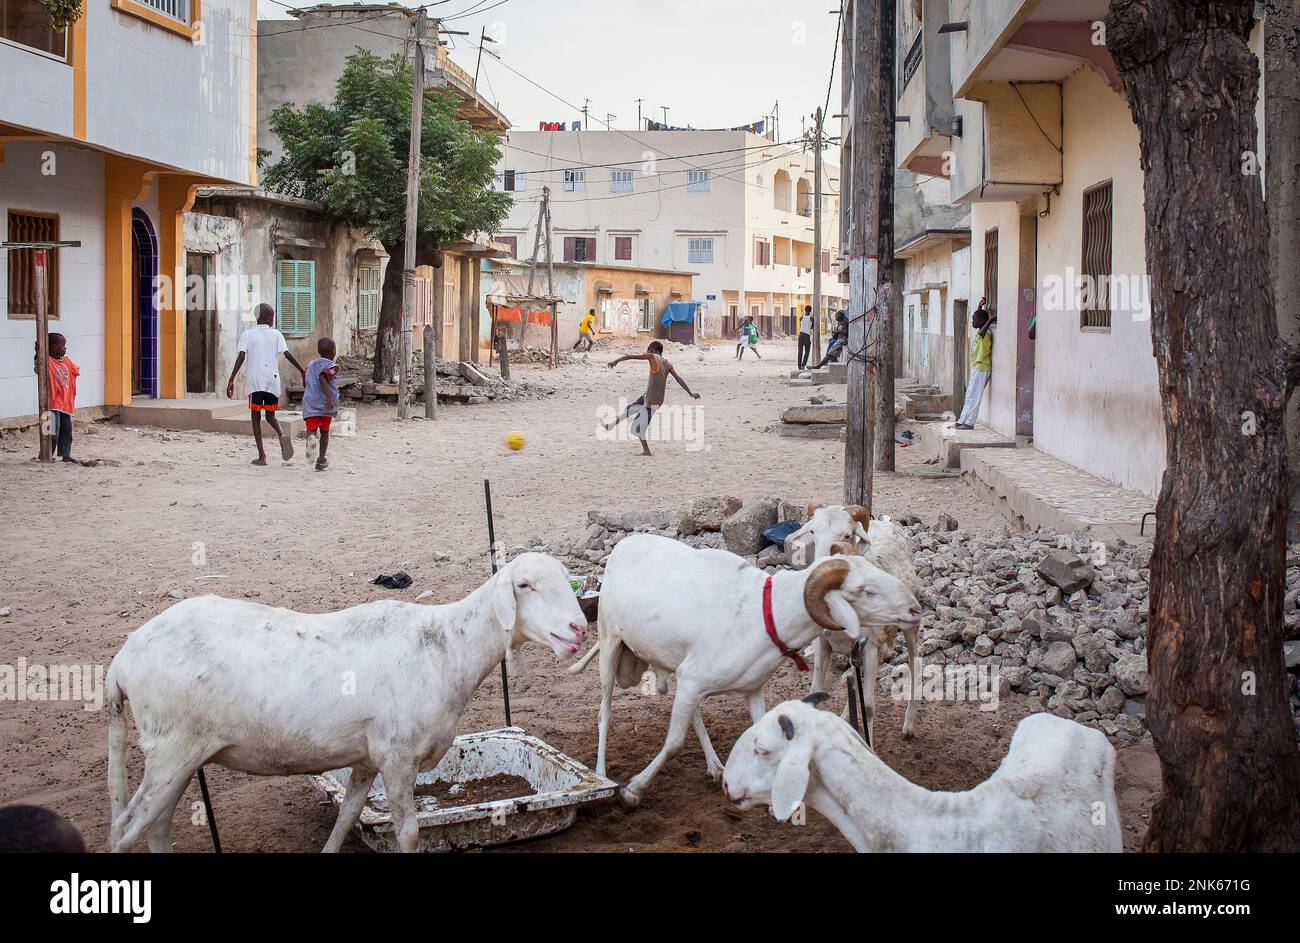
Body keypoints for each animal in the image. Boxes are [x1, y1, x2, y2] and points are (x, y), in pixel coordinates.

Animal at [106, 551, 585, 853]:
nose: (579, 628)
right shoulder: (397, 755)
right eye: (524, 585)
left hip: (179, 754)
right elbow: (407, 833)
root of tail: (122, 660)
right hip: (172, 748)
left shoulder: (368, 758)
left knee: (157, 827)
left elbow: (346, 817)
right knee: (125, 830)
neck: (449, 647)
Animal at [564, 533, 920, 806]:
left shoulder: (746, 689)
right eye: (864, 591)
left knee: (691, 713)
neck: (765, 613)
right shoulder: (693, 681)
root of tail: (625, 544)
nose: (916, 608)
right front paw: (633, 792)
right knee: (604, 711)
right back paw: (601, 772)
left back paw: (715, 766)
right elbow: (674, 742)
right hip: (610, 642)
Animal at [790, 504, 925, 749]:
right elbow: (815, 692)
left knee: (915, 663)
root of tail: (886, 523)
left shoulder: (870, 648)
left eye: (846, 535)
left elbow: (869, 707)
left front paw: (870, 748)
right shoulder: (824, 645)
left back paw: (908, 727)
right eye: (812, 532)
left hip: (910, 624)